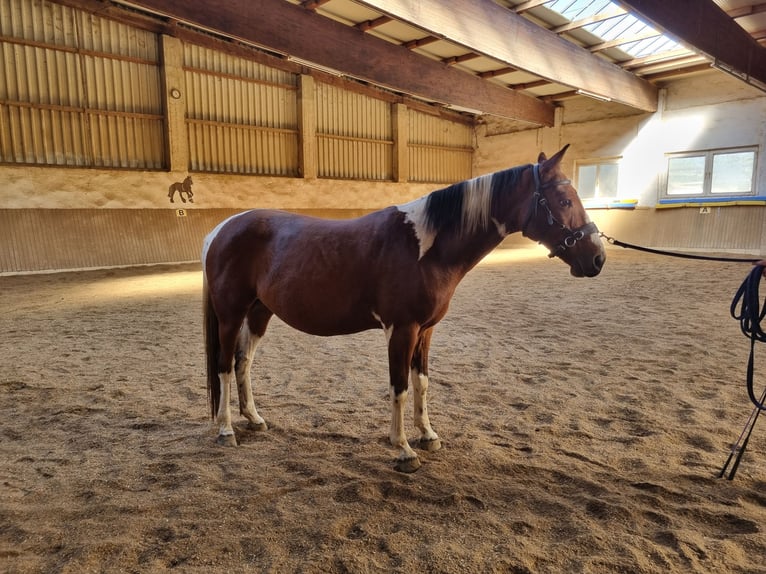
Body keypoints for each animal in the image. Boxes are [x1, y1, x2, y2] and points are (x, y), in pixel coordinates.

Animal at [202, 145, 606, 472]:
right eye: (564, 201)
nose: (598, 258)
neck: (426, 247)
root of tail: (220, 229)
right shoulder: (402, 328)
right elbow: (399, 386)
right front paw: (403, 450)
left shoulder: (425, 330)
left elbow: (421, 382)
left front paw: (427, 435)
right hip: (230, 314)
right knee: (224, 366)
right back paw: (225, 430)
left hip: (259, 312)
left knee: (243, 362)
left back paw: (254, 419)